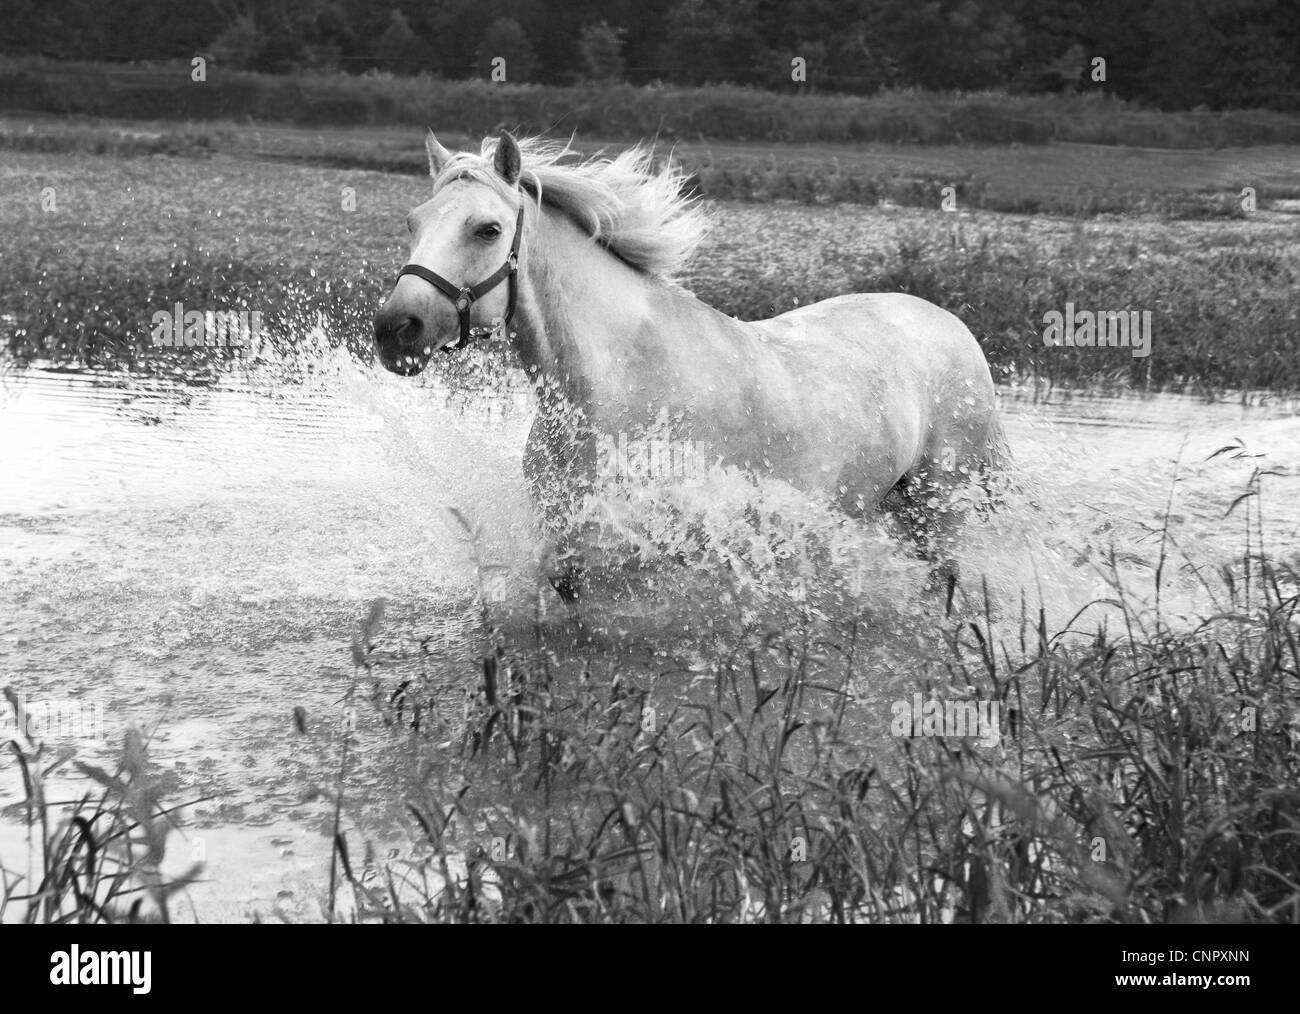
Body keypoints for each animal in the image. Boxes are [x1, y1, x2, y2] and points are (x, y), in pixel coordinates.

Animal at [377, 132, 1003, 595]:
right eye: (413, 222)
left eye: (487, 229)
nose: (395, 330)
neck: (614, 384)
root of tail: (949, 324)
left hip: (941, 511)